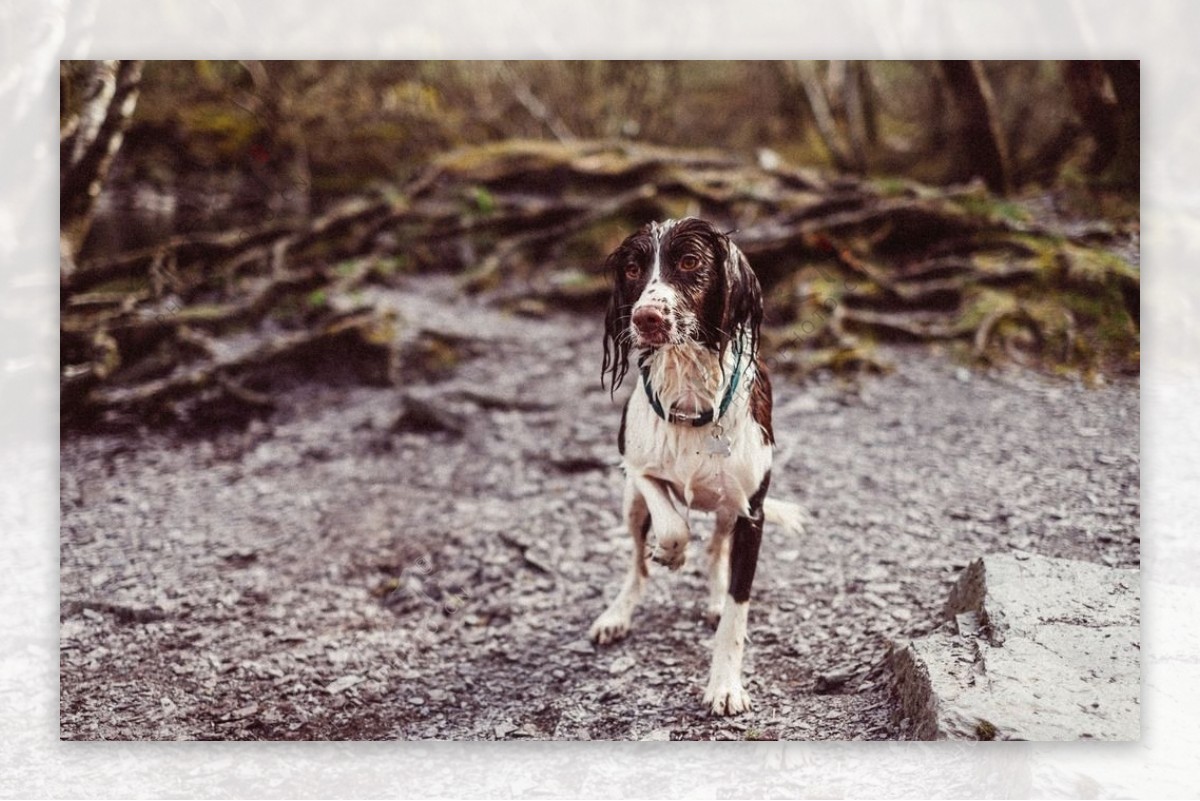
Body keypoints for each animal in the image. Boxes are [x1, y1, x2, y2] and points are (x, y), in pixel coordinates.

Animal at [585, 215, 801, 714]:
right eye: (632, 269)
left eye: (688, 262)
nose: (645, 318)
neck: (689, 395)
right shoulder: (635, 467)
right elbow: (671, 523)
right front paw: (671, 552)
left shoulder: (752, 514)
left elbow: (737, 612)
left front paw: (724, 686)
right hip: (630, 506)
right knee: (637, 565)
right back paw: (618, 612)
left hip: (728, 511)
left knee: (716, 549)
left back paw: (713, 594)